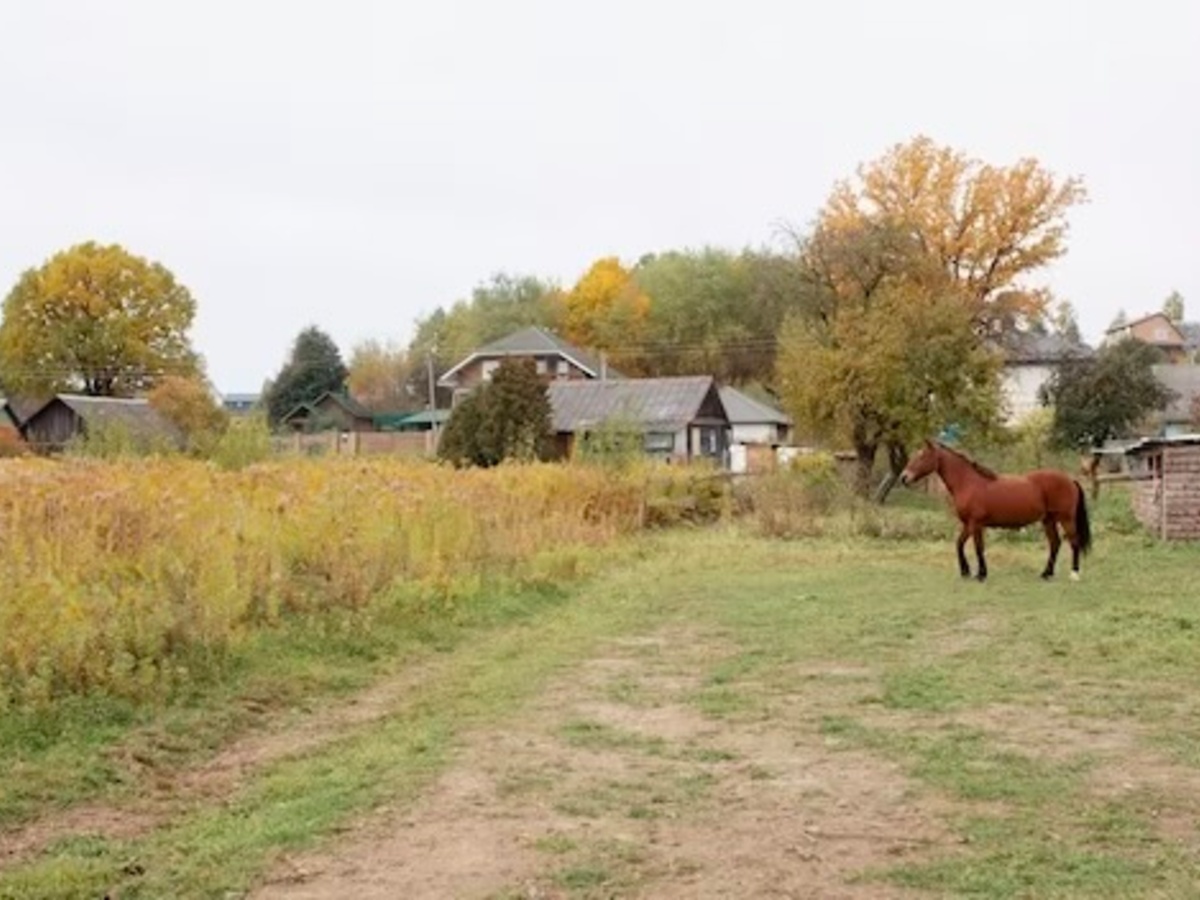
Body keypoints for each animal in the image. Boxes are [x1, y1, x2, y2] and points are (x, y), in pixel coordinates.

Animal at [902, 441, 1089, 585]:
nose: (904, 477)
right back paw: (1046, 574)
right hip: (1048, 520)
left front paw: (980, 574)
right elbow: (959, 544)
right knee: (1055, 543)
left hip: (1066, 519)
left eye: (921, 456)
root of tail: (1070, 479)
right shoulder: (968, 524)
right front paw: (966, 572)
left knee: (1074, 542)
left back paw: (1074, 574)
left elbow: (978, 548)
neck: (968, 482)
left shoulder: (976, 524)